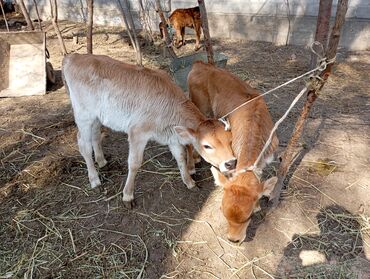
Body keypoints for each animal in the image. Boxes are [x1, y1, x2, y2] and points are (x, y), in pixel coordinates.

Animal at [60, 54, 234, 208]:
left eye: (230, 140)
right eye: (207, 146)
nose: (231, 162)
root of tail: (73, 56)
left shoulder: (172, 136)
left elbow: (180, 157)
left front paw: (189, 182)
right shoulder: (137, 133)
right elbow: (134, 163)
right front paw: (128, 196)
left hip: (97, 116)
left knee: (96, 135)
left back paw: (102, 161)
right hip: (83, 115)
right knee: (83, 144)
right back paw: (94, 179)